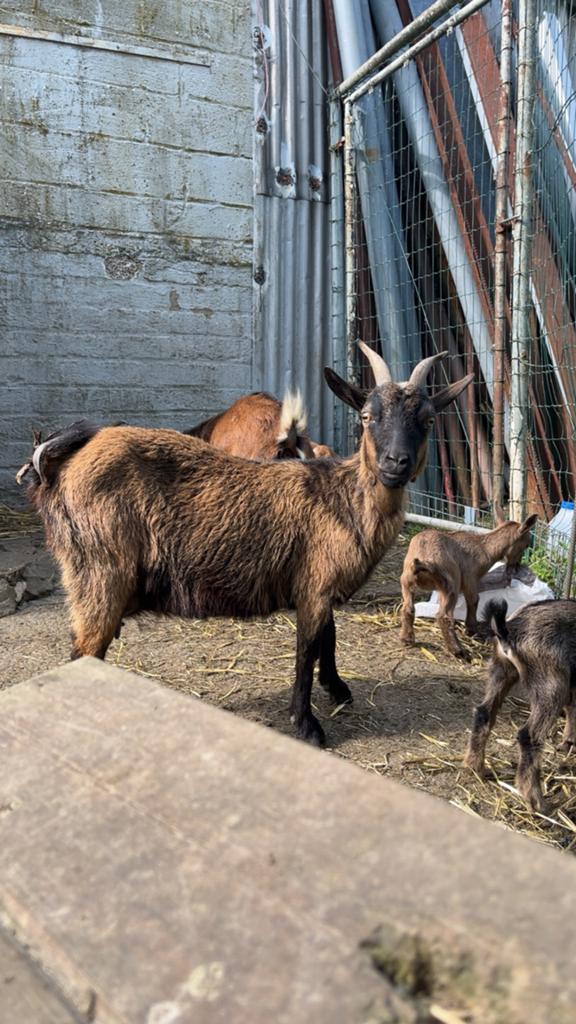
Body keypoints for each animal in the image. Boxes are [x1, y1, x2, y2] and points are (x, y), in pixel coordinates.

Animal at [399, 509, 538, 658]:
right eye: (526, 544)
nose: (517, 566)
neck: (484, 549)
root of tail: (423, 561)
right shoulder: (470, 579)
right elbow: (474, 601)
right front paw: (471, 630)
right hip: (450, 584)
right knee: (444, 616)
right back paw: (458, 650)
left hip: (407, 581)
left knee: (408, 608)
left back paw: (407, 639)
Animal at [465, 597, 576, 811]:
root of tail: (508, 629)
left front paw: (568, 743)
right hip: (550, 685)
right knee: (529, 735)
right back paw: (537, 802)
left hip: (501, 670)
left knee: (483, 713)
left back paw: (476, 767)